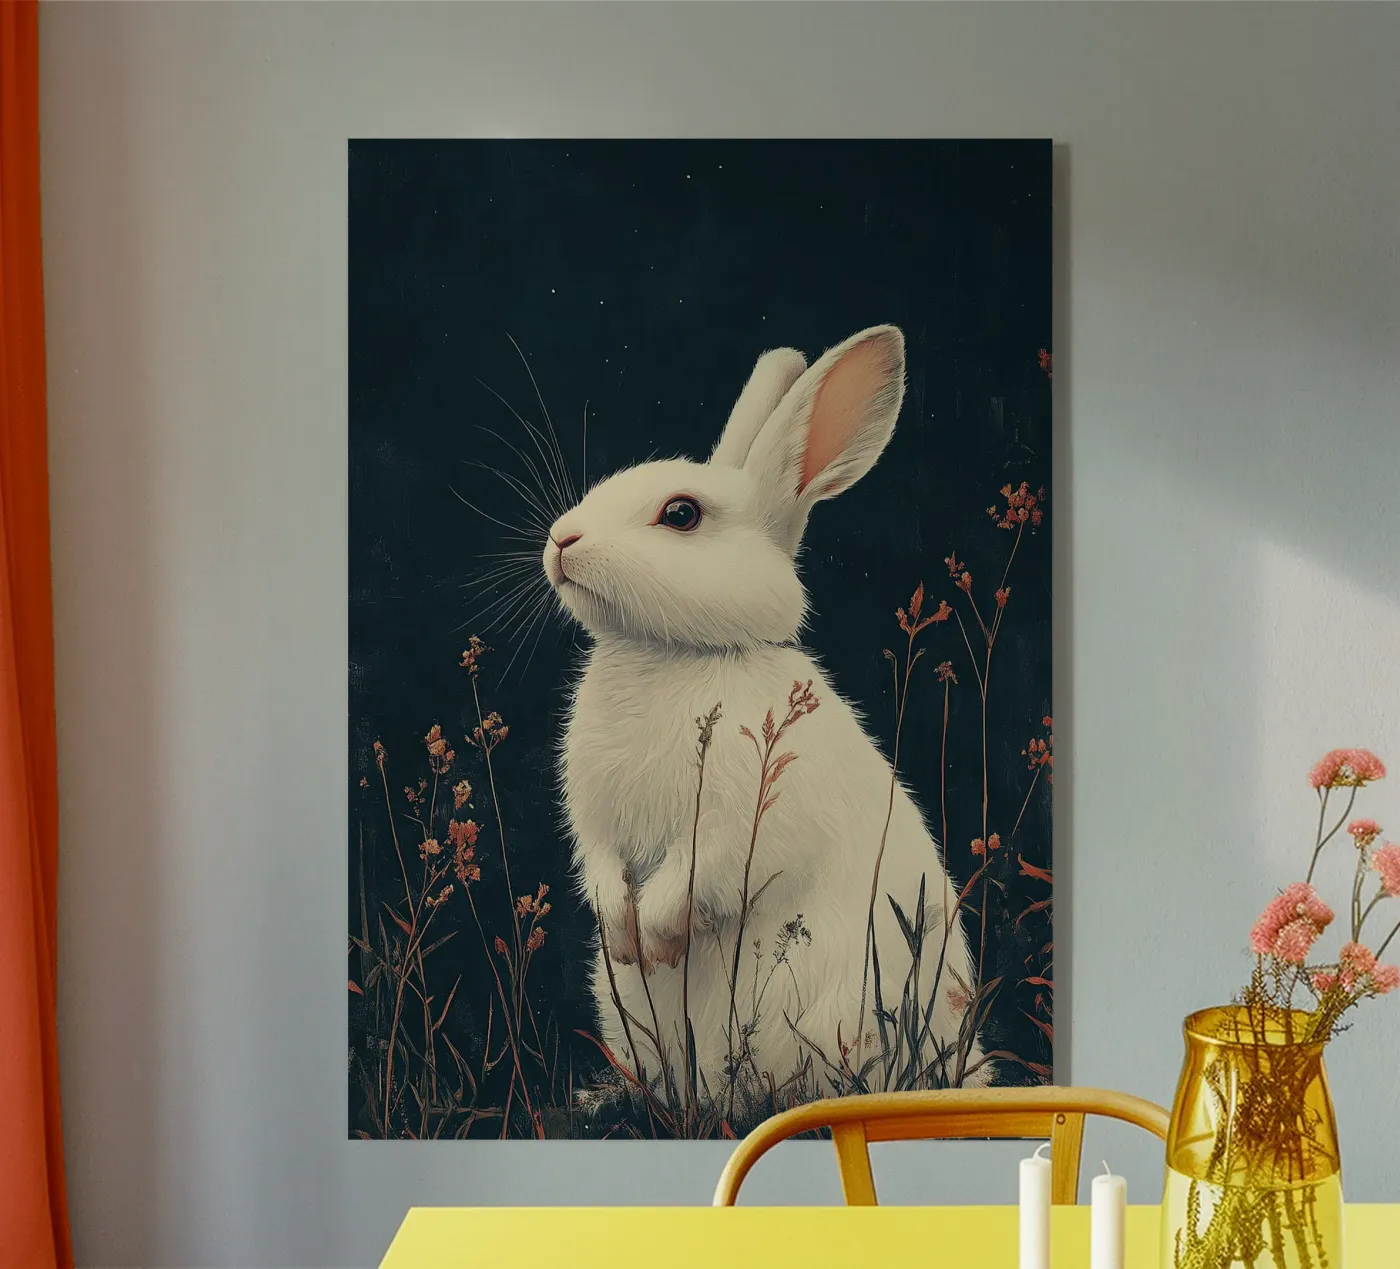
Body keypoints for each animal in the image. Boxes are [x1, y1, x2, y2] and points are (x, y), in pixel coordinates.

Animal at [542, 325, 987, 1110]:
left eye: (681, 514)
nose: (563, 540)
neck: (670, 654)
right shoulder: (593, 818)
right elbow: (599, 864)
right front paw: (622, 932)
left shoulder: (740, 819)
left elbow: (696, 875)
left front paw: (656, 936)